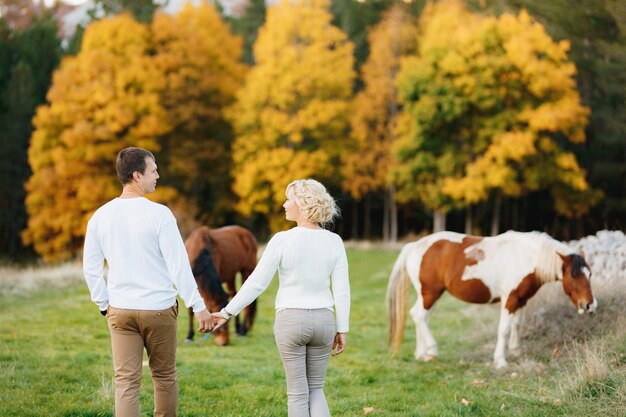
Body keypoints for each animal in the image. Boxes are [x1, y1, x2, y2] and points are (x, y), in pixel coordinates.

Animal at [386, 231, 596, 368]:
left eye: (590, 274)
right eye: (574, 276)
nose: (590, 305)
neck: (527, 257)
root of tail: (414, 246)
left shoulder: (522, 300)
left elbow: (517, 325)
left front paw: (516, 352)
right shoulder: (509, 300)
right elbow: (504, 329)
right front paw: (500, 360)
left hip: (429, 296)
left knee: (421, 318)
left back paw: (422, 354)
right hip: (430, 293)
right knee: (419, 316)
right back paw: (432, 350)